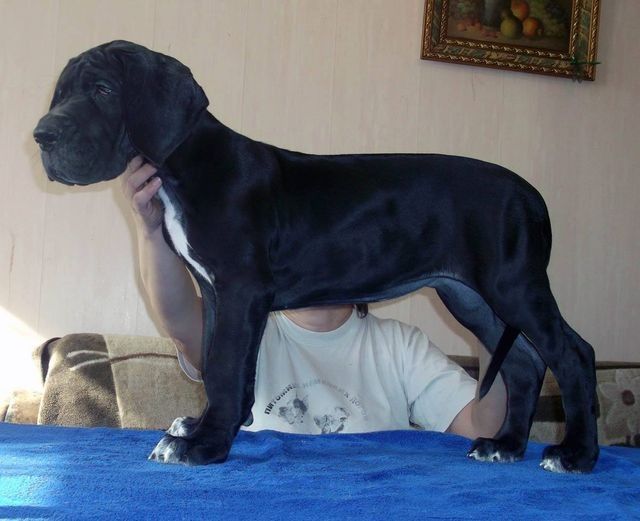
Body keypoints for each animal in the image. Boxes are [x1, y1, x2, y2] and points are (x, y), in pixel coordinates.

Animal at [33, 40, 598, 472]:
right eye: (61, 94)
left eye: (103, 90)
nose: (42, 135)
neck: (185, 164)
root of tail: (530, 194)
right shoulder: (217, 294)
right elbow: (220, 367)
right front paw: (204, 428)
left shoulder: (241, 289)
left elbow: (226, 367)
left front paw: (204, 446)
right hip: (471, 296)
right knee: (525, 363)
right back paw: (506, 446)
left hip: (512, 283)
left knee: (573, 354)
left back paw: (575, 455)